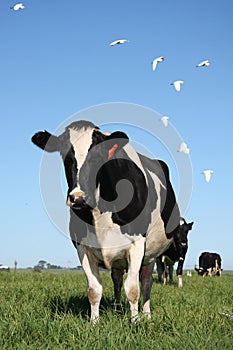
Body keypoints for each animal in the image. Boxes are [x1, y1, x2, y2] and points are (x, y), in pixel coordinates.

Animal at [31, 120, 180, 322]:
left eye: (97, 158)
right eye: (66, 157)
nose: (78, 198)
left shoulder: (137, 243)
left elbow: (133, 288)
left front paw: (135, 321)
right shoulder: (83, 247)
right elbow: (94, 290)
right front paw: (94, 322)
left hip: (151, 254)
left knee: (146, 282)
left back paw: (147, 315)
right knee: (116, 278)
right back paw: (117, 309)